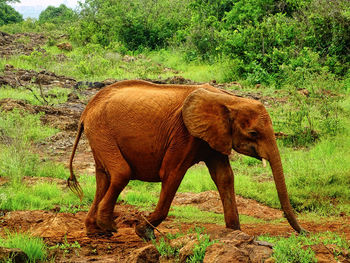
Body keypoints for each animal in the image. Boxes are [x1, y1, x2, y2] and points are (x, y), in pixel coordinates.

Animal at [67, 79, 304, 240]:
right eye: (254, 133)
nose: (303, 233)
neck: (229, 99)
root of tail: (86, 110)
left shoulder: (214, 136)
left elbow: (224, 177)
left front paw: (235, 234)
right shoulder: (184, 134)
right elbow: (172, 174)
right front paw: (143, 232)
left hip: (99, 133)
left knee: (103, 178)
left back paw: (95, 232)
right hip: (101, 130)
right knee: (120, 173)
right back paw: (108, 227)